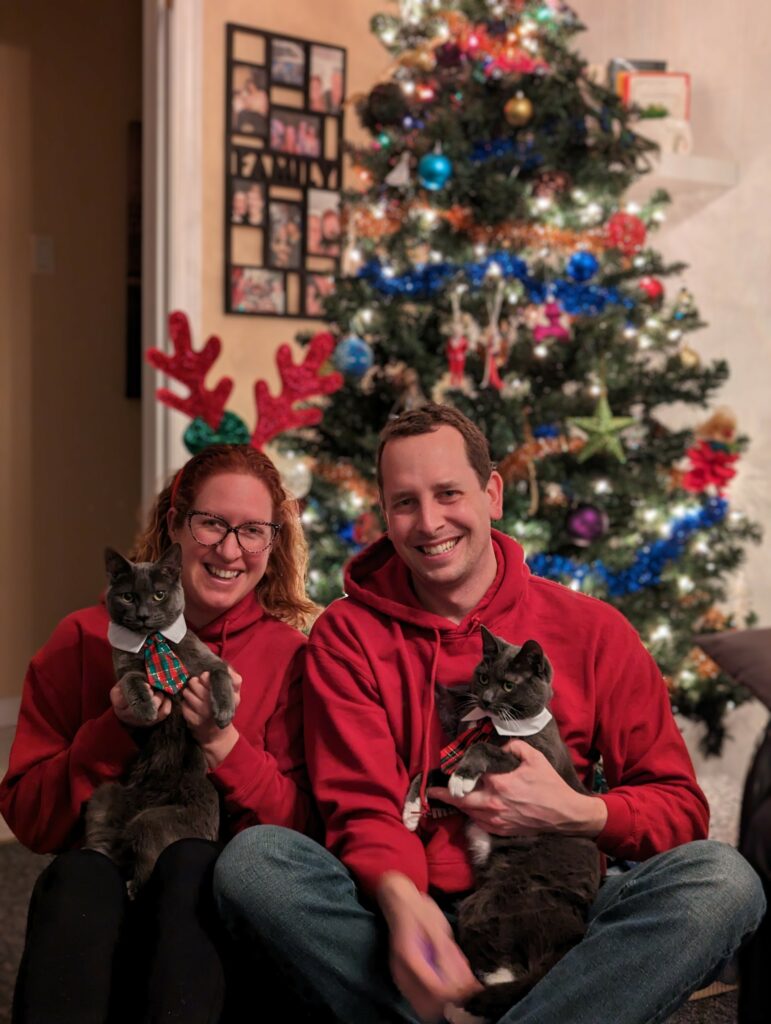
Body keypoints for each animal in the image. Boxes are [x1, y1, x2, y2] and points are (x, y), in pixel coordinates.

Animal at [84, 544, 234, 897]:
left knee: (147, 863)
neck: (154, 641)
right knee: (104, 846)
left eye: (159, 595)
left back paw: (130, 885)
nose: (142, 614)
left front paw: (223, 714)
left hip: (154, 822)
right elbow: (132, 680)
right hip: (103, 798)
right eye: (128, 596)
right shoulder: (123, 670)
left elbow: (220, 675)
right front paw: (145, 709)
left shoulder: (209, 662)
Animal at [405, 626, 597, 1019]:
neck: (495, 726)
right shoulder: (449, 767)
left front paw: (462, 779)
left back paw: (461, 1006)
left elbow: (483, 750)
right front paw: (411, 809)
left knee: (509, 971)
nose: (487, 699)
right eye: (482, 677)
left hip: (494, 904)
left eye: (508, 685)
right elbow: (429, 770)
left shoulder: (534, 761)